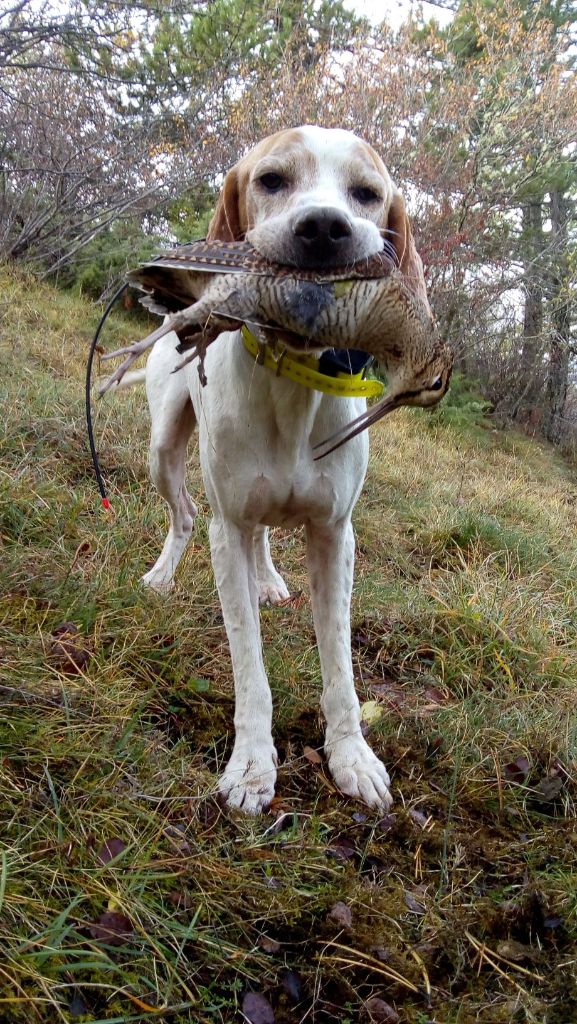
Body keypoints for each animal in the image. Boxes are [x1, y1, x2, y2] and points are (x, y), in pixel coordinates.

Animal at [138, 125, 428, 815]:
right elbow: (250, 667)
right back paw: (163, 574)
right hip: (164, 450)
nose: (324, 228)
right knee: (184, 514)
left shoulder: (335, 535)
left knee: (265, 530)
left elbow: (342, 669)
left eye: (367, 193)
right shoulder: (229, 532)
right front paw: (250, 766)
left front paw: (352, 757)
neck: (293, 383)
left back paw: (269, 578)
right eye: (271, 180)